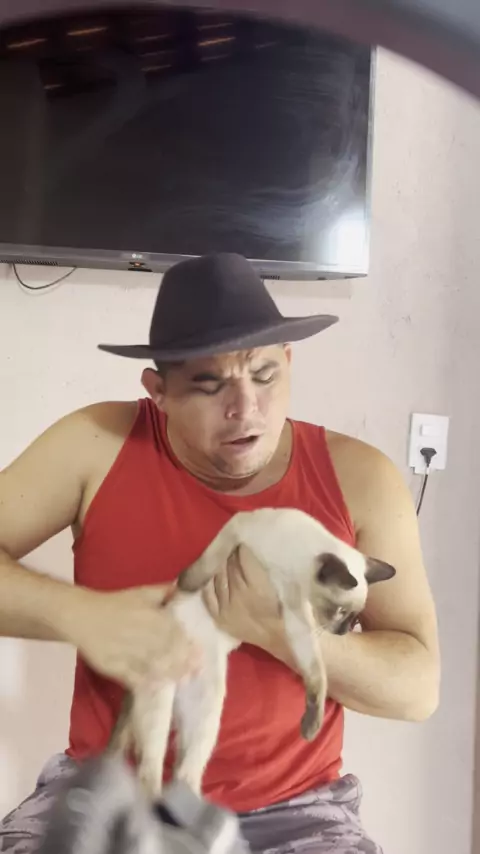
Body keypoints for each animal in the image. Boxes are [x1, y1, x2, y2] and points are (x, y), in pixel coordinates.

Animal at [107, 507, 395, 799]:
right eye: (340, 611)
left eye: (354, 617)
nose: (343, 631)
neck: (293, 567)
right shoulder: (239, 529)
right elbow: (204, 565)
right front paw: (186, 583)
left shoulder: (295, 618)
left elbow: (315, 672)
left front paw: (310, 726)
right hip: (161, 703)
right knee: (150, 768)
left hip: (206, 715)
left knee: (183, 771)